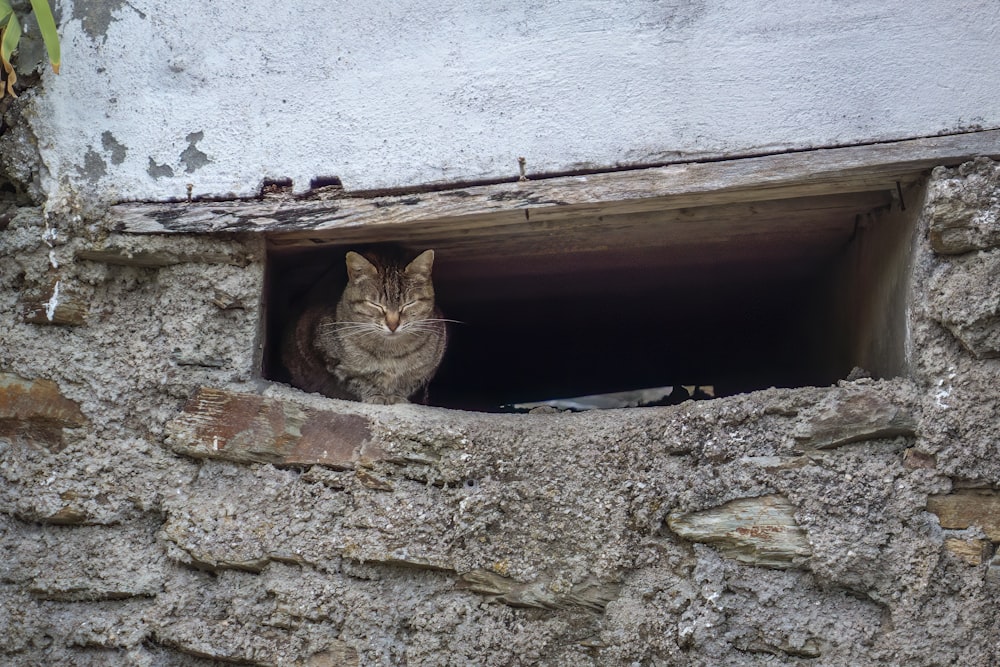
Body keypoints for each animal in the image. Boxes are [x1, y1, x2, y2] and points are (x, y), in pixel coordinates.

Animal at [284, 249, 452, 404]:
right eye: (375, 304)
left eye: (409, 304)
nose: (393, 324)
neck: (391, 352)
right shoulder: (329, 359)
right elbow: (358, 381)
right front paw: (375, 395)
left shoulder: (427, 368)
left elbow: (408, 383)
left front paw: (397, 397)